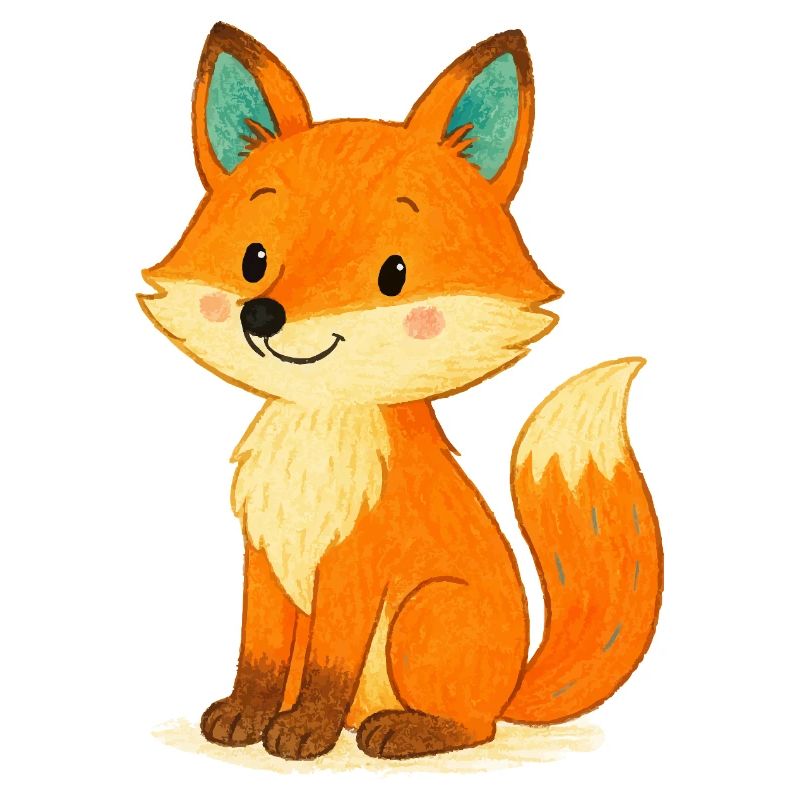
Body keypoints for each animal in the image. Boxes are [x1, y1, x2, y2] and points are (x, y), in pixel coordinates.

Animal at [139, 22, 663, 761]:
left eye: (394, 273)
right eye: (254, 260)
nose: (261, 316)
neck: (320, 431)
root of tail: (511, 685)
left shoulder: (358, 568)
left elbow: (330, 664)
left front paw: (302, 731)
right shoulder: (265, 557)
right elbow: (259, 655)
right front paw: (247, 716)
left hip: (426, 616)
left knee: (473, 727)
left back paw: (401, 730)